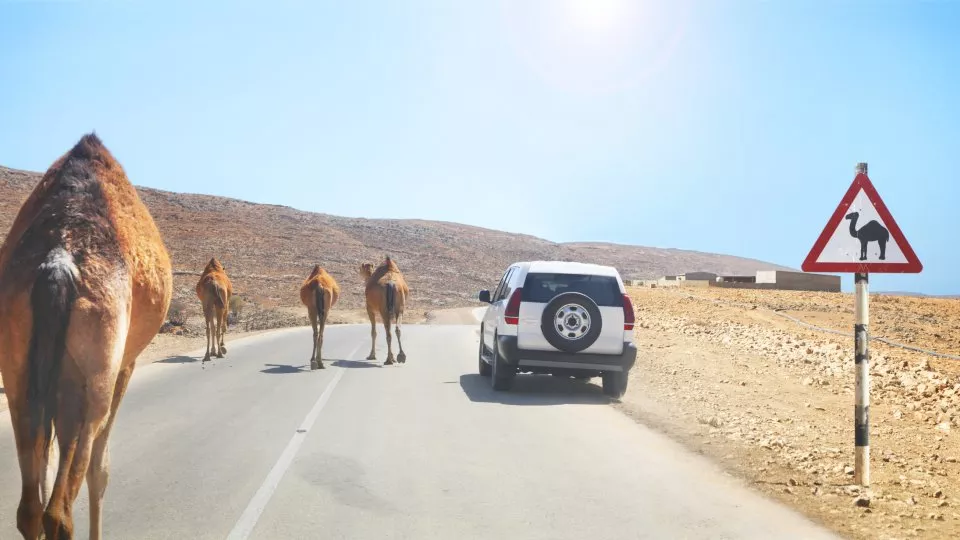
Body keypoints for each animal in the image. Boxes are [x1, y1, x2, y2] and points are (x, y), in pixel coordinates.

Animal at [0, 132, 171, 540]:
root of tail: (58, 261)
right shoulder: (124, 365)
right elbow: (101, 468)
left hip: (16, 374)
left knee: (31, 509)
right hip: (97, 376)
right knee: (60, 509)